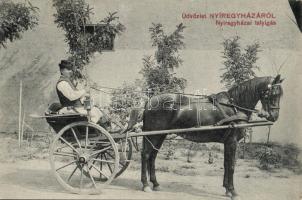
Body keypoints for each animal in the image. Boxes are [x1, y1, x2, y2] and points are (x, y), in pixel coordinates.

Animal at [138, 74, 284, 198]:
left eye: (280, 94)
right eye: (272, 94)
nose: (274, 116)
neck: (235, 107)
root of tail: (149, 101)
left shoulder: (227, 142)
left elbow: (226, 164)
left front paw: (227, 189)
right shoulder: (232, 142)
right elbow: (232, 166)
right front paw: (233, 191)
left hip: (160, 135)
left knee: (152, 156)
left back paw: (155, 183)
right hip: (153, 135)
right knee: (146, 155)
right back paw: (145, 185)